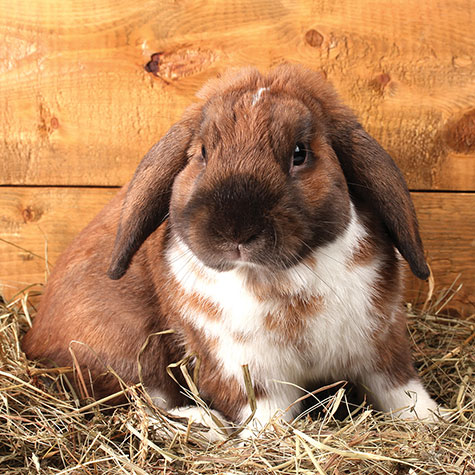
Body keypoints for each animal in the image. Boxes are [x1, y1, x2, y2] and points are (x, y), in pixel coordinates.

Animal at [22, 65, 442, 436]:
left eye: (300, 153)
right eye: (203, 153)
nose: (236, 230)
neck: (285, 278)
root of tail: (32, 339)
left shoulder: (381, 345)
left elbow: (400, 388)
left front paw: (431, 419)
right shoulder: (239, 368)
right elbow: (267, 413)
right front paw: (267, 438)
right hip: (127, 352)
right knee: (142, 400)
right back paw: (205, 425)